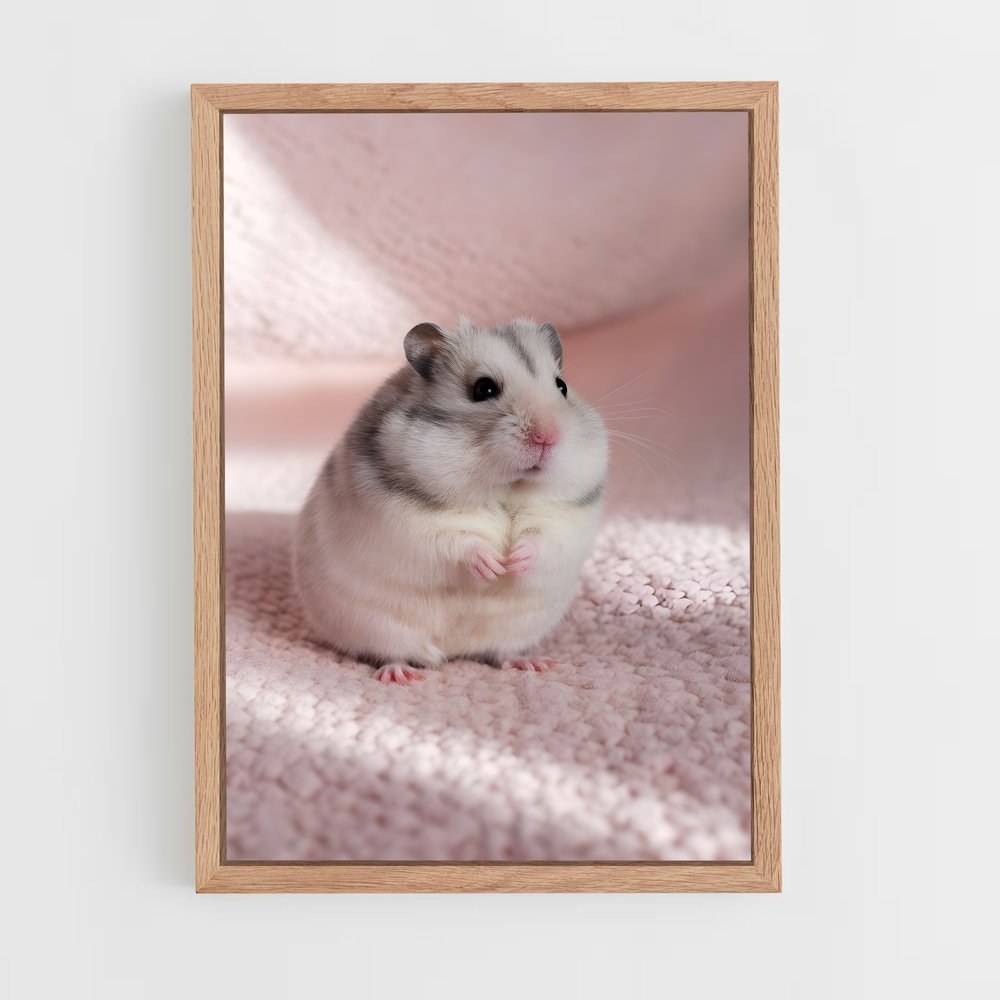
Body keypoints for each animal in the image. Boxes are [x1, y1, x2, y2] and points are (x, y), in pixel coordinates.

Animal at [292, 316, 609, 684]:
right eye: (483, 389)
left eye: (562, 386)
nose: (548, 437)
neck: (504, 490)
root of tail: (455, 651)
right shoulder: (409, 525)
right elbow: (458, 541)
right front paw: (494, 565)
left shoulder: (566, 519)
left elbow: (542, 540)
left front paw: (512, 562)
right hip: (377, 626)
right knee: (392, 653)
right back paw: (401, 676)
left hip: (517, 630)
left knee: (502, 652)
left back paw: (533, 663)